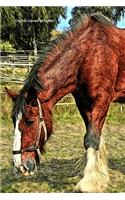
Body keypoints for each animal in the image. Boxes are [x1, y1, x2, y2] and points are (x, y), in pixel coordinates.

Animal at [5, 13, 124, 192]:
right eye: (13, 121)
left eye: (30, 121)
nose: (20, 166)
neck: (90, 53)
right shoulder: (83, 104)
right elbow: (90, 137)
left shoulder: (102, 101)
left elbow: (93, 138)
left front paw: (89, 182)